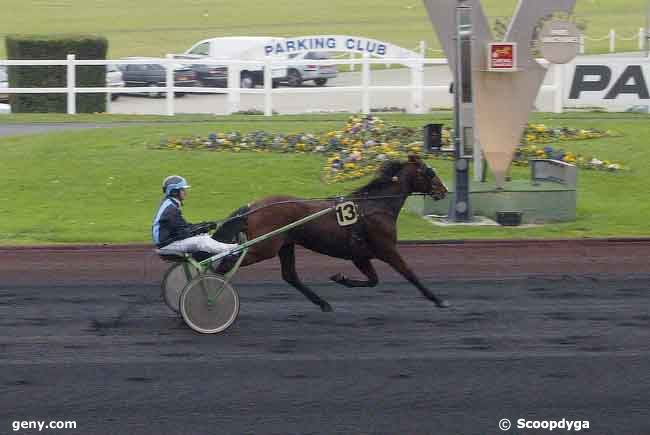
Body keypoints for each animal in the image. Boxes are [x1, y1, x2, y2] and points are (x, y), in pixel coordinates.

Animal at [215, 155, 448, 312]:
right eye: (430, 172)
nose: (443, 191)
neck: (375, 206)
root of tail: (252, 206)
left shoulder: (360, 255)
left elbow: (373, 280)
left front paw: (341, 278)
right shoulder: (387, 249)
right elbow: (409, 273)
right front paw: (437, 299)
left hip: (285, 245)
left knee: (290, 275)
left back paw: (323, 303)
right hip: (265, 247)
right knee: (228, 262)